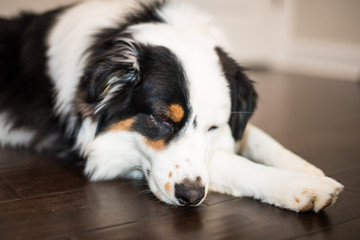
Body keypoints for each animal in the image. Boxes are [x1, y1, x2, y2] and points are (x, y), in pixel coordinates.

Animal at [0, 0, 344, 211]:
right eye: (162, 119)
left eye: (213, 126)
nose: (190, 197)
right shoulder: (98, 151)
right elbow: (228, 162)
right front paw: (303, 186)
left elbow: (255, 136)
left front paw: (305, 168)